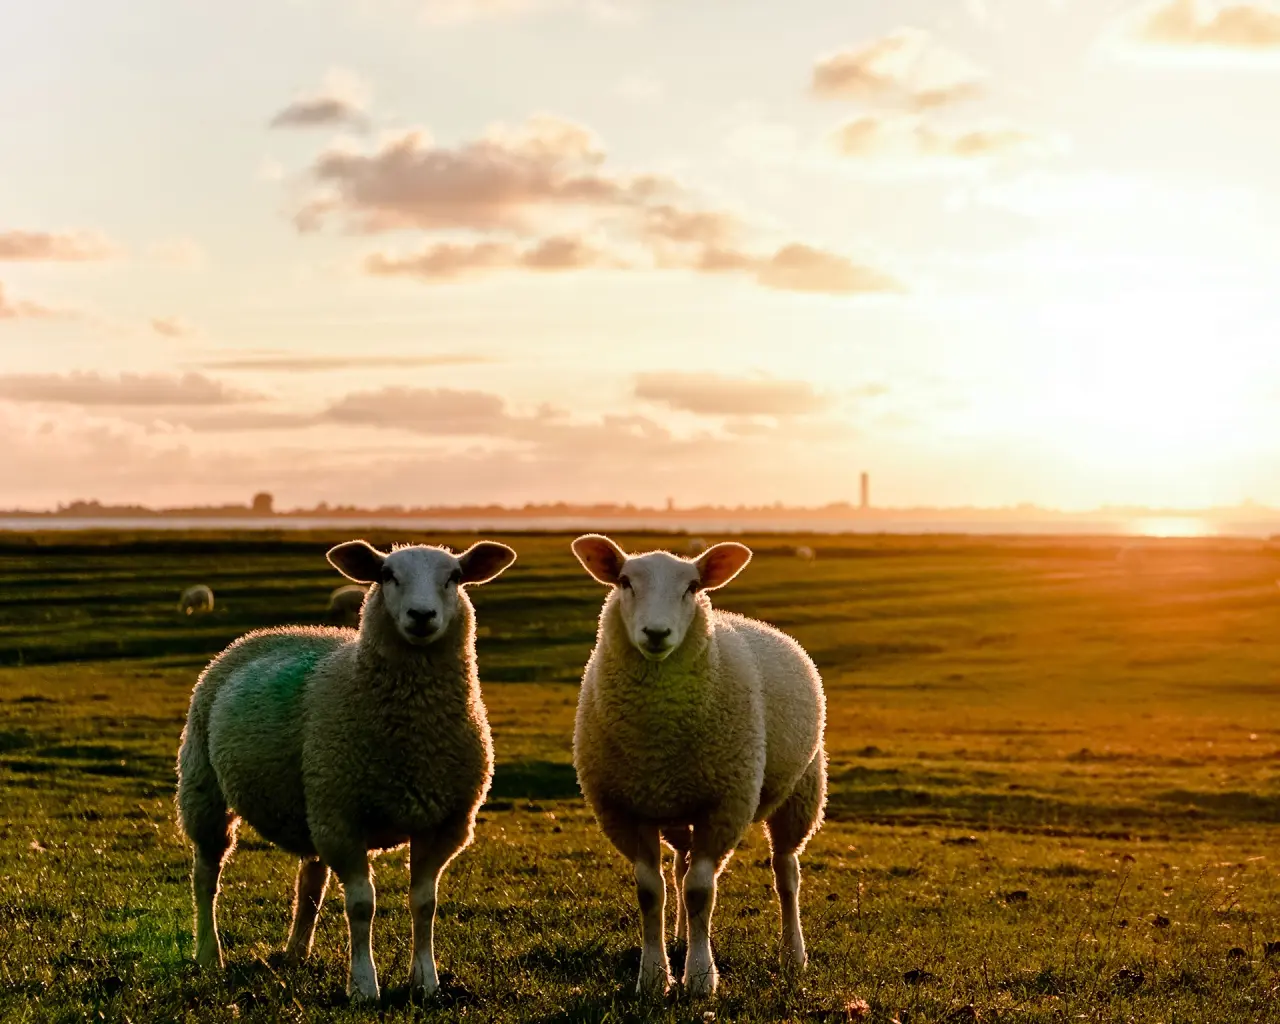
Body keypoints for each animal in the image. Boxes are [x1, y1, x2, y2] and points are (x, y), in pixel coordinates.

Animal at [176, 538, 517, 1003]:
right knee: (206, 877)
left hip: (312, 801)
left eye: (455, 577)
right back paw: (210, 955)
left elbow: (424, 903)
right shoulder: (343, 820)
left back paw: (297, 952)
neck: (413, 732)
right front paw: (363, 986)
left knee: (309, 881)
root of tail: (267, 632)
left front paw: (425, 981)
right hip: (206, 788)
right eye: (386, 575)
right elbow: (360, 905)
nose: (422, 616)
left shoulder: (444, 824)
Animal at [570, 534, 827, 997]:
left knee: (786, 873)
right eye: (624, 581)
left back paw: (792, 955)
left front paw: (701, 978)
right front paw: (655, 976)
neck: (658, 741)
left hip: (801, 792)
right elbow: (651, 891)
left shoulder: (724, 805)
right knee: (679, 868)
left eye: (692, 587)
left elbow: (701, 892)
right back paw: (678, 938)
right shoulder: (624, 809)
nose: (656, 633)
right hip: (677, 810)